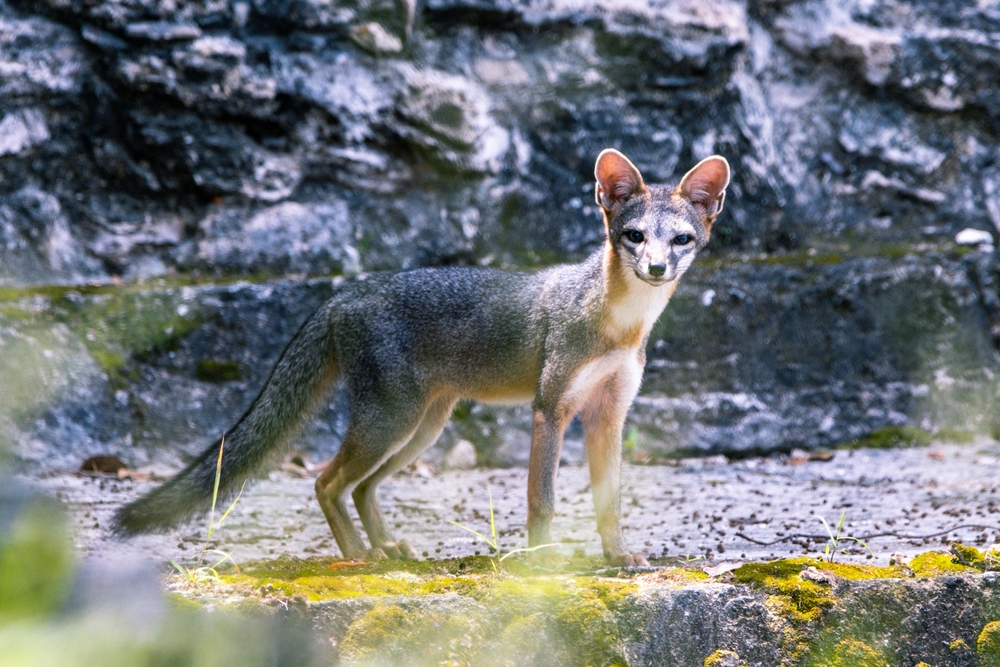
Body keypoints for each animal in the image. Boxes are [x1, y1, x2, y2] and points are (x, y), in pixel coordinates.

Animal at [113, 149, 732, 568]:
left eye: (680, 240)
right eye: (634, 236)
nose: (657, 268)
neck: (617, 325)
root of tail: (345, 292)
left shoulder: (608, 414)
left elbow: (610, 502)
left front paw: (618, 556)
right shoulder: (551, 408)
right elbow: (543, 500)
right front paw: (542, 563)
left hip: (419, 430)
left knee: (360, 488)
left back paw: (385, 546)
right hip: (391, 423)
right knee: (327, 483)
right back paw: (361, 557)